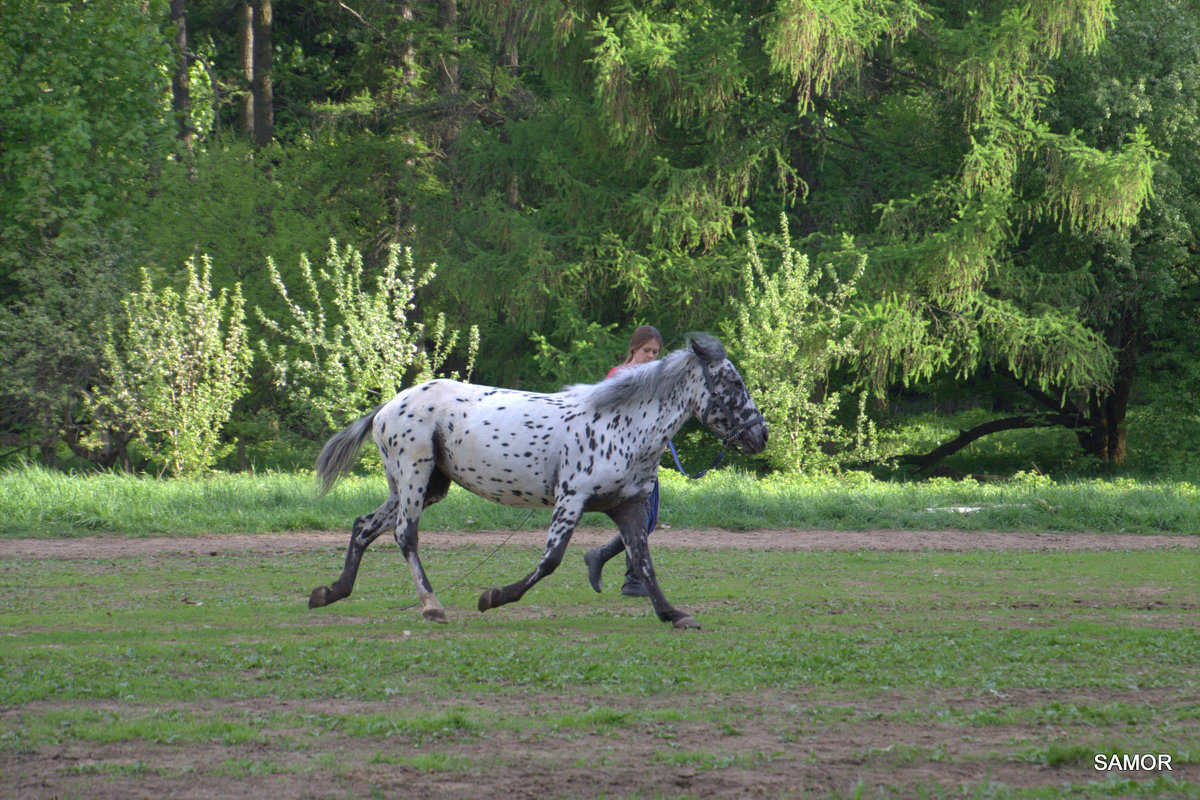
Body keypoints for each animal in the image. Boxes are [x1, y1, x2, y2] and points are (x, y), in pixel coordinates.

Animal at [304, 335, 763, 628]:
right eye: (734, 383)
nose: (761, 435)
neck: (622, 425)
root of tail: (386, 408)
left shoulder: (629, 506)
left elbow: (644, 561)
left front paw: (673, 614)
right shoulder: (571, 499)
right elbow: (550, 561)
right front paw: (492, 598)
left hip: (422, 485)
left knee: (364, 526)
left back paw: (330, 592)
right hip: (414, 476)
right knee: (405, 535)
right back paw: (431, 606)